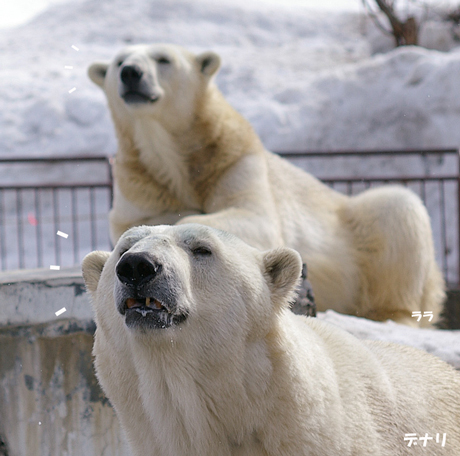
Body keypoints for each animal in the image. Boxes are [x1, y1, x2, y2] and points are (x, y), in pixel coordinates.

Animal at [88, 42, 444, 326]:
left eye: (163, 59)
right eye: (119, 62)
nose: (131, 73)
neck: (175, 159)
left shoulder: (237, 163)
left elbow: (252, 216)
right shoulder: (139, 187)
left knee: (398, 208)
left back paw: (393, 314)